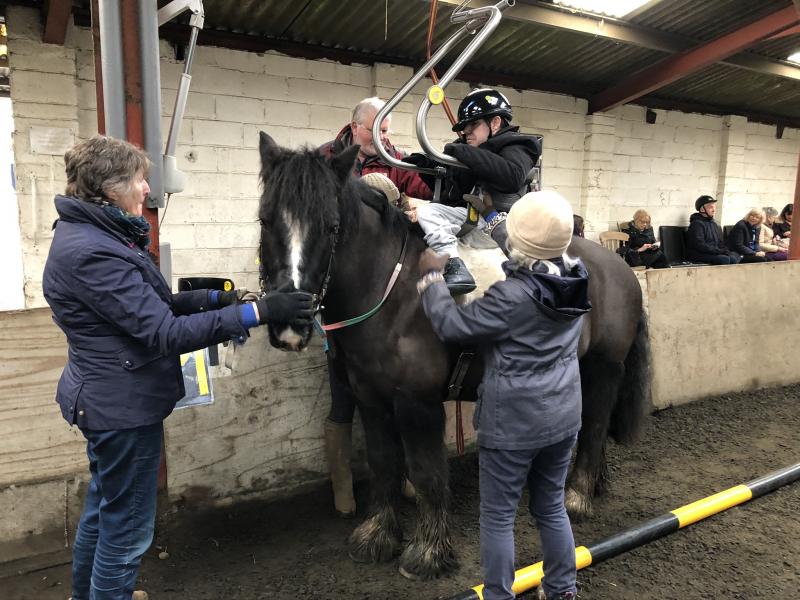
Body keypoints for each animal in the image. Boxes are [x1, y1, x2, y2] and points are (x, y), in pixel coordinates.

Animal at [256, 132, 648, 580]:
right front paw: (378, 536)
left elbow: (425, 473)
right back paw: (592, 484)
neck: (392, 288)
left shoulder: (417, 404)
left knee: (596, 423)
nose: (290, 322)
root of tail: (618, 267)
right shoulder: (370, 399)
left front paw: (427, 553)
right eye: (265, 220)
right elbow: (383, 463)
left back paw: (578, 495)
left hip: (604, 368)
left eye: (332, 226)